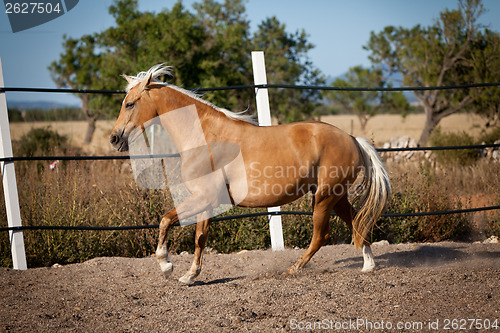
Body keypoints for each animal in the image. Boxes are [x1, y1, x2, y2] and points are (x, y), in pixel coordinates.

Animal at [111, 63, 392, 282]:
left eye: (130, 104)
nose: (115, 139)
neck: (203, 136)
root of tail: (353, 139)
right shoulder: (208, 201)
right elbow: (200, 237)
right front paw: (190, 275)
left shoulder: (203, 198)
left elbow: (166, 220)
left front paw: (166, 265)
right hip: (336, 196)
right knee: (357, 223)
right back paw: (368, 266)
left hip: (324, 198)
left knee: (321, 236)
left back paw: (293, 270)